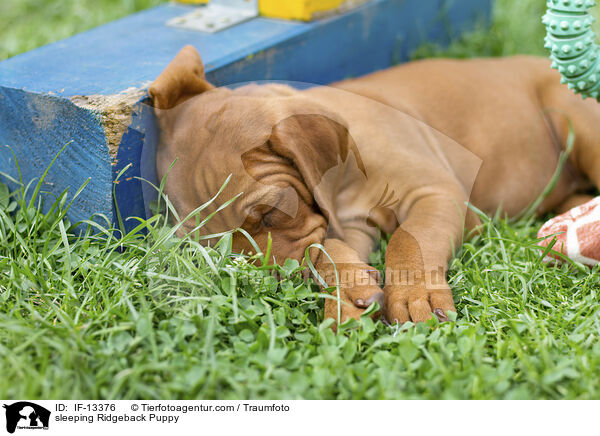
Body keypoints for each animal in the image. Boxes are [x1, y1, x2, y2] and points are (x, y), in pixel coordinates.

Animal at [148, 46, 600, 326]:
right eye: (218, 249)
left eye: (270, 213)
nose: (275, 287)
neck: (346, 182)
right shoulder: (348, 225)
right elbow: (327, 249)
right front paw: (347, 297)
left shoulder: (434, 191)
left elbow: (410, 239)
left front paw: (416, 295)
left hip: (577, 121)